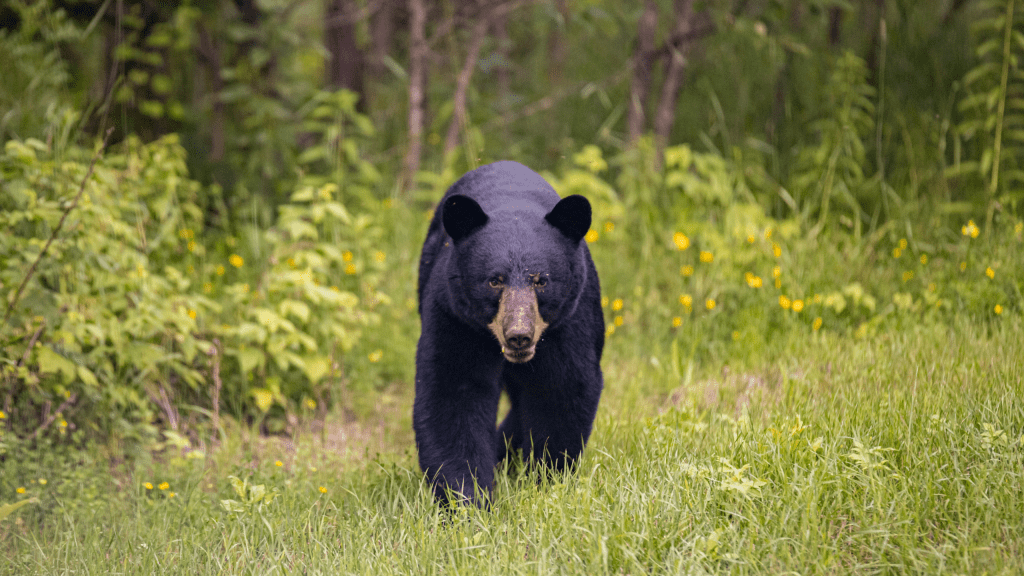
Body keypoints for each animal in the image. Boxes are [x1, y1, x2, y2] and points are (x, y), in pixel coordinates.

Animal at [414, 160, 605, 506]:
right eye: (494, 280)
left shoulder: (570, 319)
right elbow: (453, 392)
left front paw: (545, 480)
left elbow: (562, 387)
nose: (519, 335)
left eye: (541, 280)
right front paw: (467, 499)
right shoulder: (455, 315)